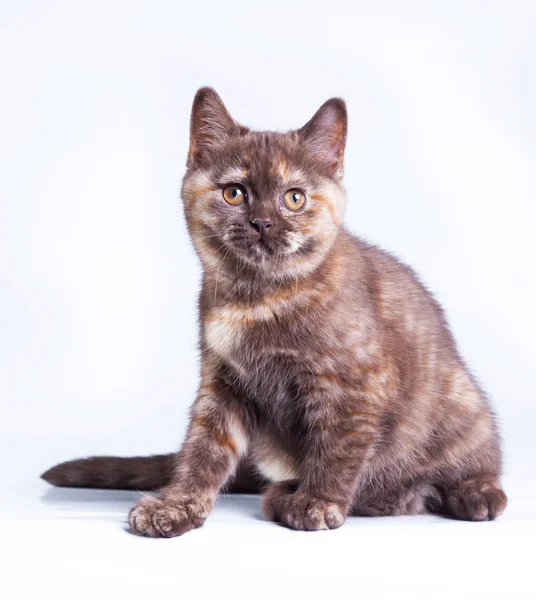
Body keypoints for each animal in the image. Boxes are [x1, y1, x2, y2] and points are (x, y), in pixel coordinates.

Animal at [42, 86, 506, 536]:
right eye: (234, 193)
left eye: (294, 198)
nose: (262, 222)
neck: (256, 298)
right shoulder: (222, 383)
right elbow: (203, 450)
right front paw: (177, 506)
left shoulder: (355, 386)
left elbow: (337, 449)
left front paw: (318, 502)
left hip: (460, 400)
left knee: (478, 463)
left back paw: (472, 494)